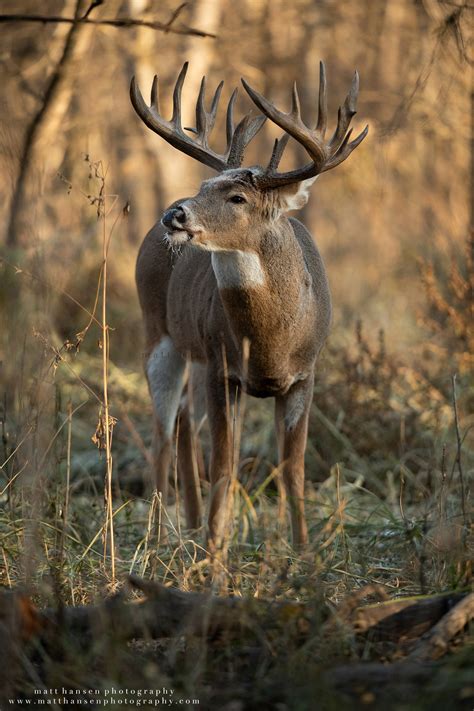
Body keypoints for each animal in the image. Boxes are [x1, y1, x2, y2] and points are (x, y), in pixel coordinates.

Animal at [131, 62, 368, 552]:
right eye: (204, 185)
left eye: (237, 197)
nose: (174, 213)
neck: (270, 342)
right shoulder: (225, 369)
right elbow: (224, 466)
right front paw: (215, 556)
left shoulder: (305, 375)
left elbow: (293, 471)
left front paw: (303, 553)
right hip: (160, 334)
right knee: (162, 431)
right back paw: (160, 537)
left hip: (195, 356)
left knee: (184, 423)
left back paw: (191, 526)